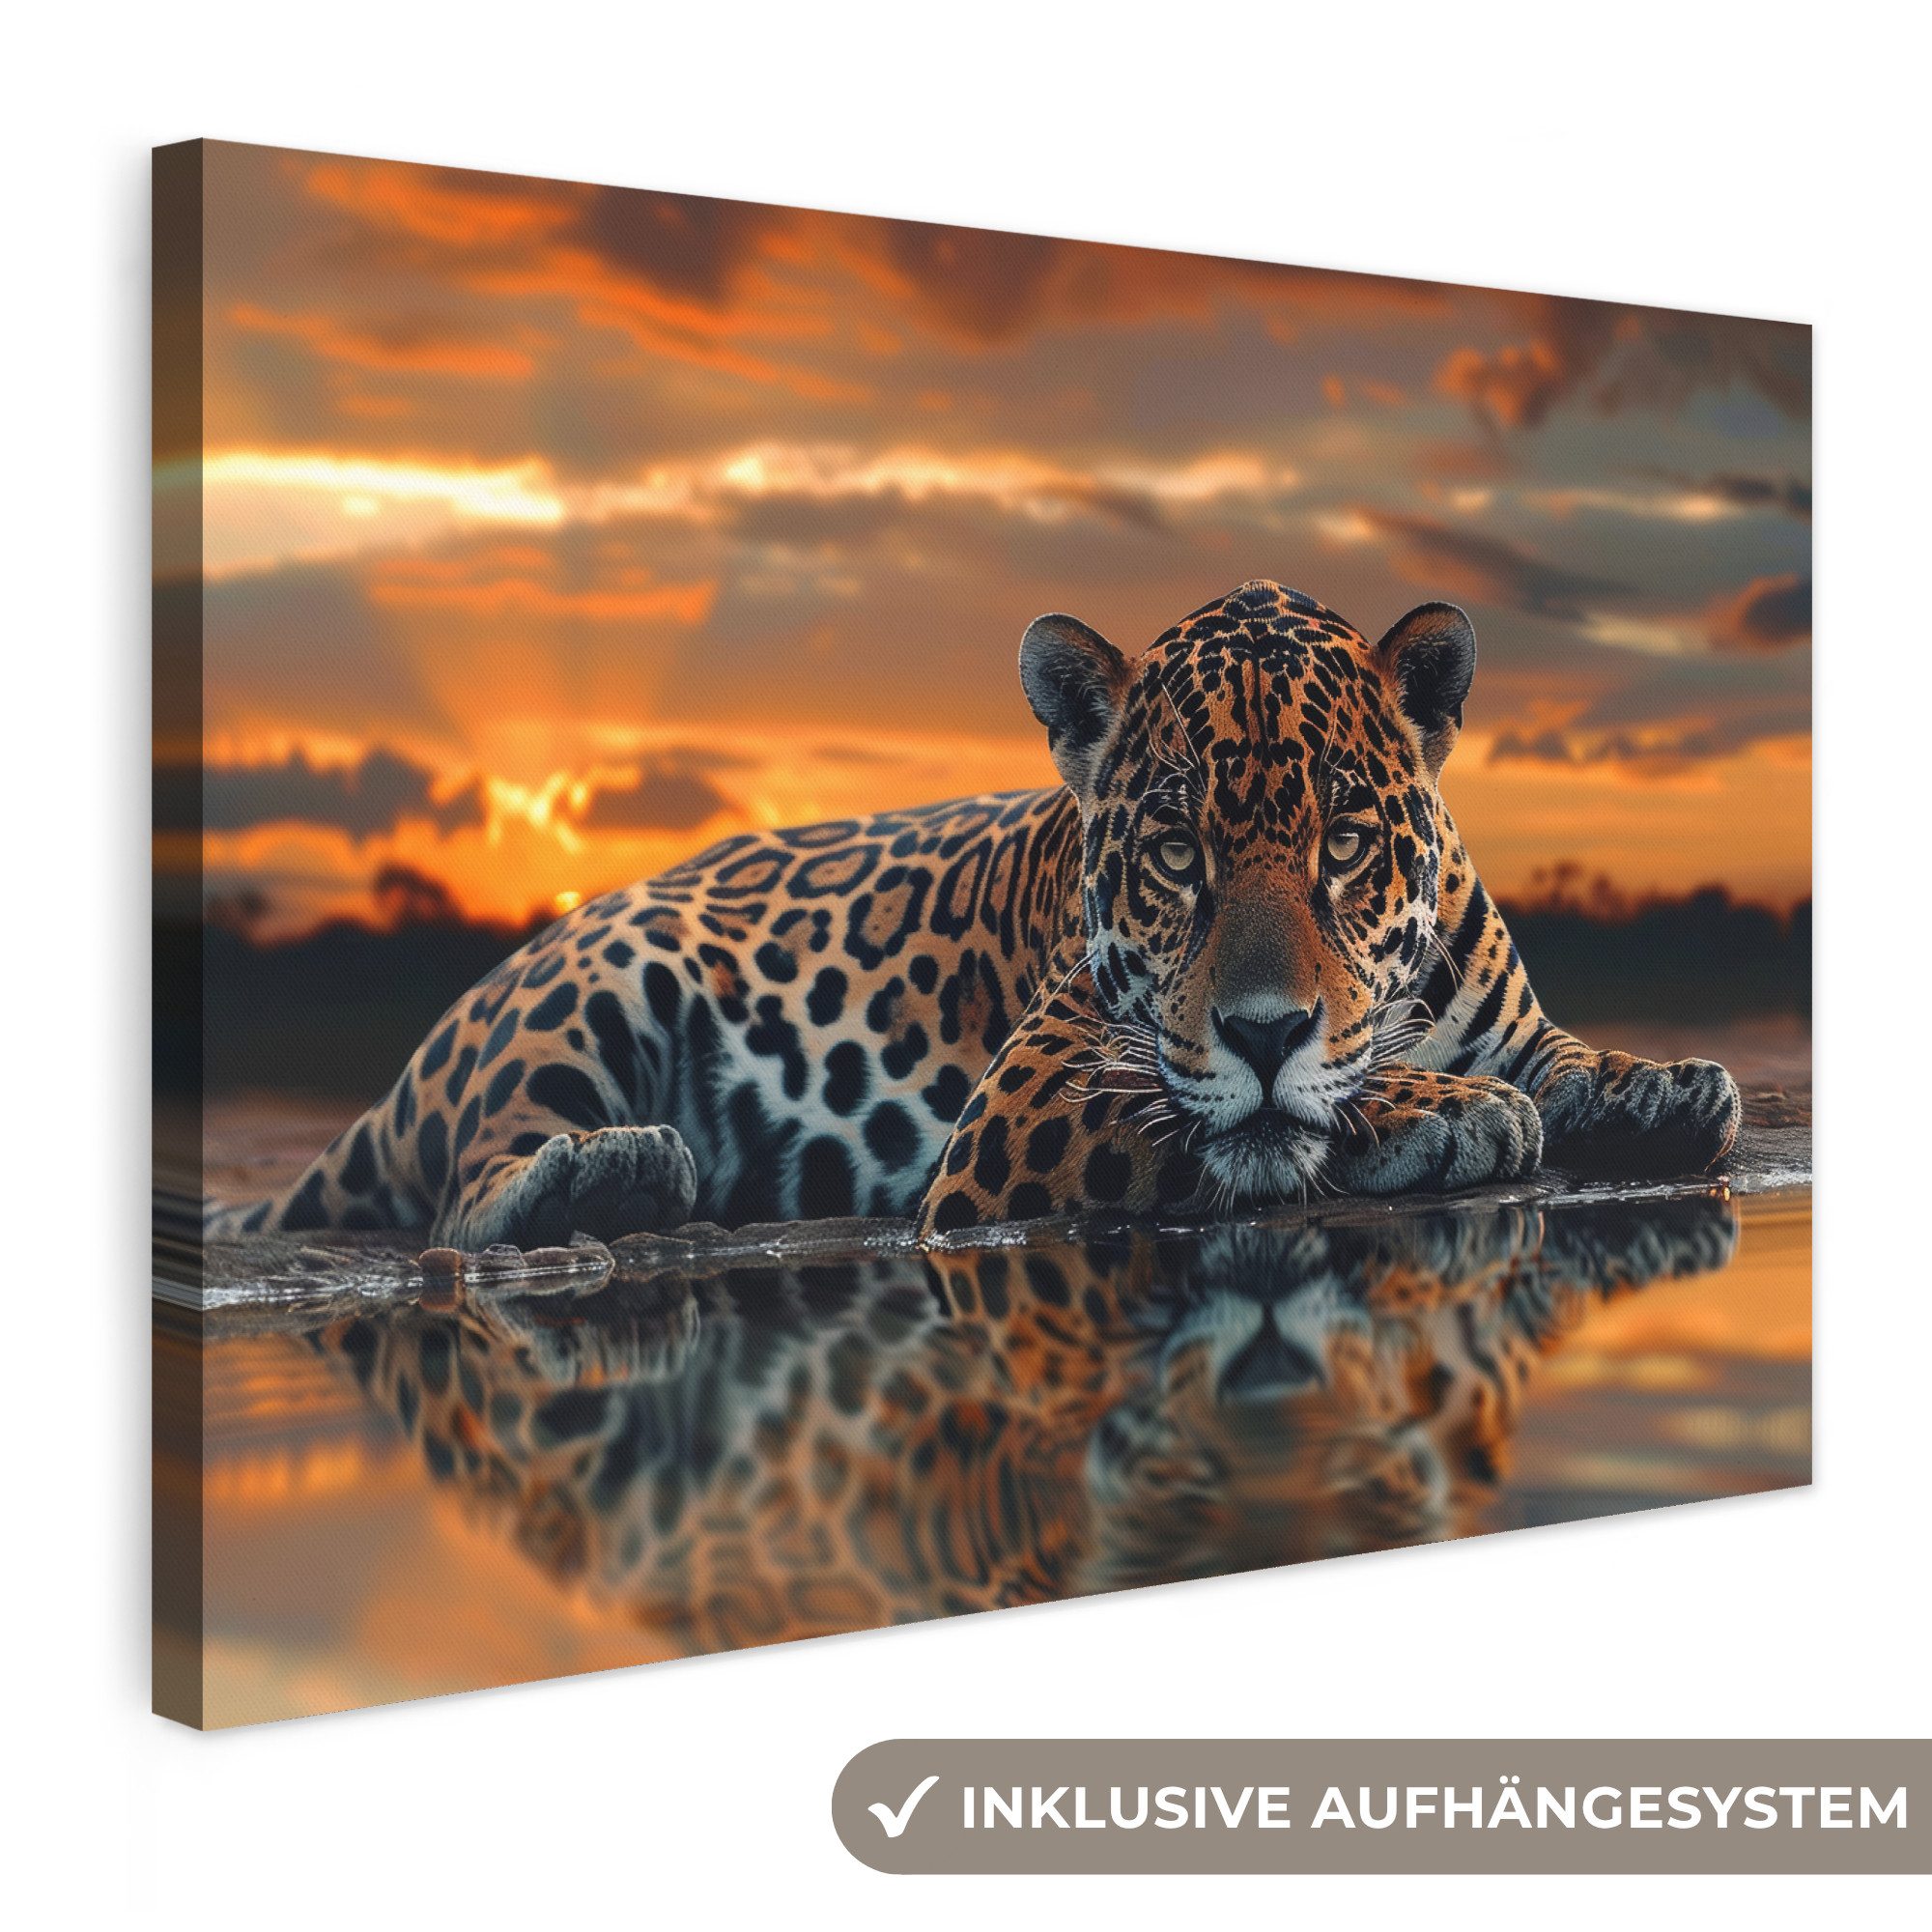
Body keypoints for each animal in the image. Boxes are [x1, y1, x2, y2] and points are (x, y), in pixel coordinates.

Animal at [202, 579, 1741, 1250]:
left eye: (1345, 843)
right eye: (1173, 851)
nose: (1263, 1028)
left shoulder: (1505, 1013)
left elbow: (1562, 1055)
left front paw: (1662, 1085)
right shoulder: (1032, 1100)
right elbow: (1259, 1117)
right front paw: (1443, 1109)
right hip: (593, 988)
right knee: (466, 1197)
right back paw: (608, 1174)